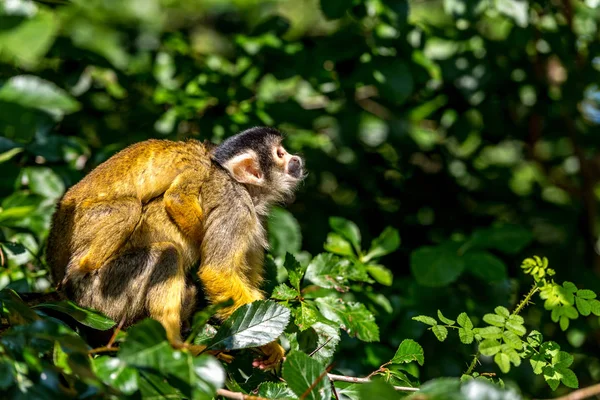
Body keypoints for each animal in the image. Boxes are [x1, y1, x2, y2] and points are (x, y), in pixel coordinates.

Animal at [48, 127, 304, 368]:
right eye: (280, 154)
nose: (297, 159)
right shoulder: (236, 207)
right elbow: (217, 272)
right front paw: (271, 343)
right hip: (103, 291)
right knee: (165, 251)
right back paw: (175, 345)